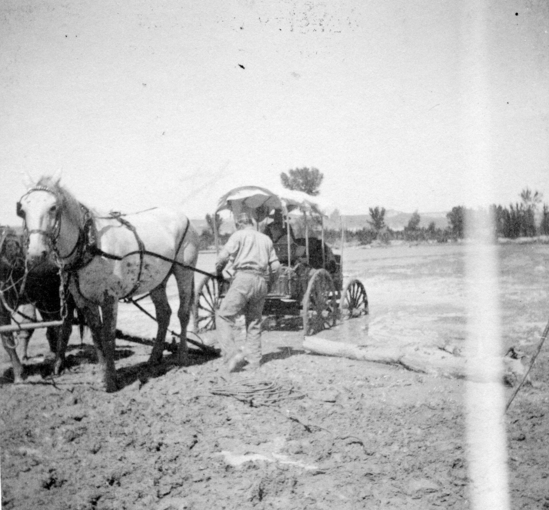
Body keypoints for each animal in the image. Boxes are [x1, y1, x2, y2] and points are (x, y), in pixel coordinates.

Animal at [0, 227, 77, 382]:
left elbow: (7, 339)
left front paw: (19, 374)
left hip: (65, 299)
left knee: (64, 328)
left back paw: (59, 364)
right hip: (47, 301)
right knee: (53, 326)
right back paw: (52, 356)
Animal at [18, 173, 200, 392]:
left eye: (53, 207)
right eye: (22, 209)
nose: (36, 254)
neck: (91, 244)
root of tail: (185, 218)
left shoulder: (109, 298)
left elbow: (109, 336)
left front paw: (112, 381)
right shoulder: (84, 301)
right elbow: (97, 336)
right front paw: (105, 377)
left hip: (184, 271)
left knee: (183, 313)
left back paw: (183, 356)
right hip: (158, 281)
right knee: (164, 314)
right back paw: (153, 358)